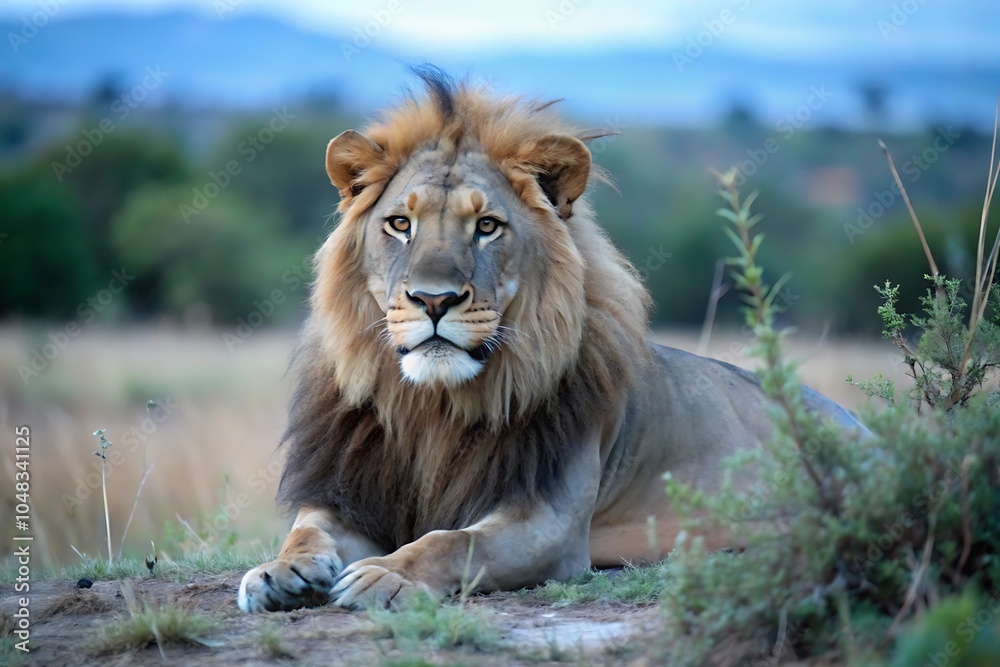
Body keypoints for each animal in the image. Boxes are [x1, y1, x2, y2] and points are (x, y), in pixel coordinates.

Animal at [238, 68, 866, 613]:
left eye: (486, 226)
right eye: (399, 224)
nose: (434, 300)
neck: (432, 408)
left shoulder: (552, 525)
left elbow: (453, 541)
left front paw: (385, 575)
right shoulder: (350, 492)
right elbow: (307, 530)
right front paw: (277, 571)